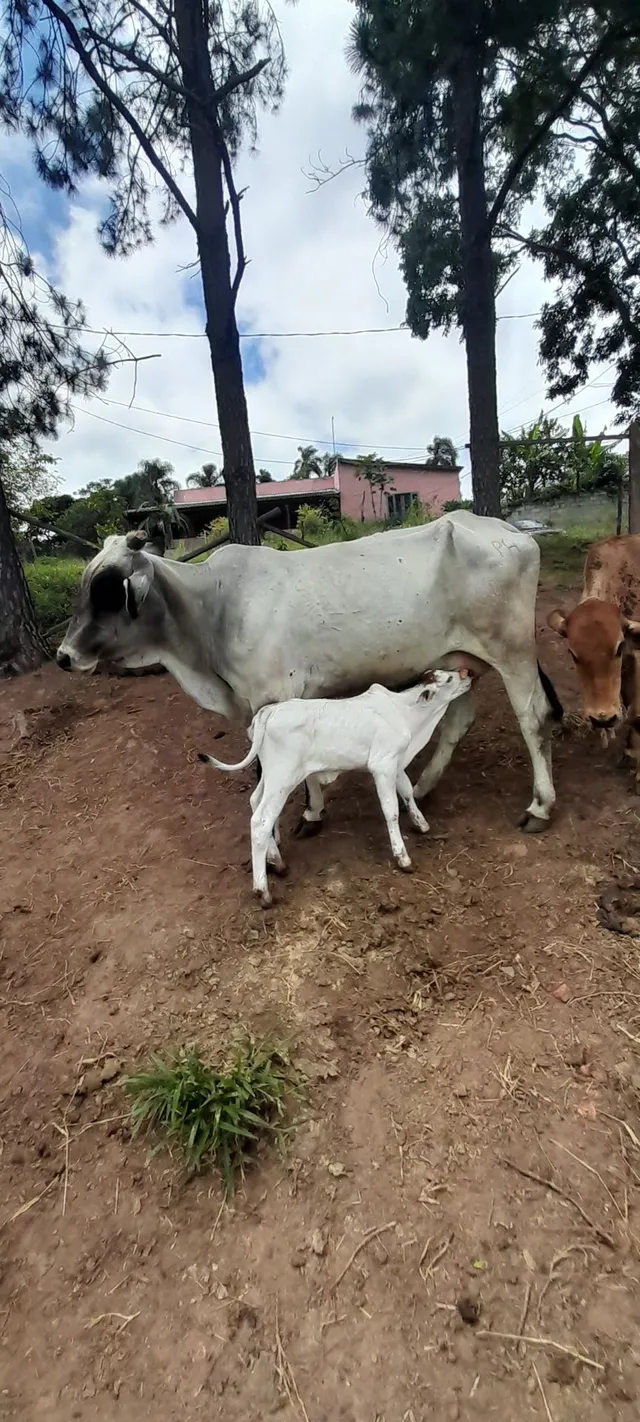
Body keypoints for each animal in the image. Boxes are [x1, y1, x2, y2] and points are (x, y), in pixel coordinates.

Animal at [56, 511, 561, 833]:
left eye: (108, 590)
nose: (63, 656)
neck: (211, 607)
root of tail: (506, 528)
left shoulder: (274, 696)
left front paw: (301, 818)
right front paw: (313, 811)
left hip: (513, 650)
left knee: (534, 719)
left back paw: (539, 806)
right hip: (456, 659)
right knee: (458, 722)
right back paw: (423, 786)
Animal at [198, 670, 472, 905]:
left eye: (446, 673)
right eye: (448, 680)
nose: (467, 674)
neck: (405, 713)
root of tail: (269, 710)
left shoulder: (396, 762)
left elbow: (406, 791)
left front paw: (421, 823)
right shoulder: (382, 765)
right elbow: (391, 810)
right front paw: (402, 857)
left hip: (271, 777)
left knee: (255, 803)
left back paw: (276, 862)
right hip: (282, 778)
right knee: (261, 821)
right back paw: (263, 891)